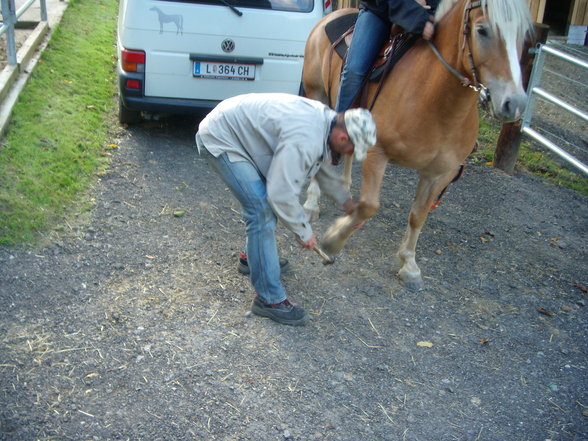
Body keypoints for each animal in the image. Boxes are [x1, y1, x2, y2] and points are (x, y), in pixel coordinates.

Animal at [306, 0, 536, 290]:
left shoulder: (440, 173)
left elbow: (418, 215)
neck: (434, 100)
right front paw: (334, 238)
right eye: (482, 30)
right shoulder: (378, 153)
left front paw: (409, 264)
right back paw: (311, 204)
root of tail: (333, 15)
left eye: (523, 36)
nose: (514, 104)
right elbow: (370, 206)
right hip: (318, 93)